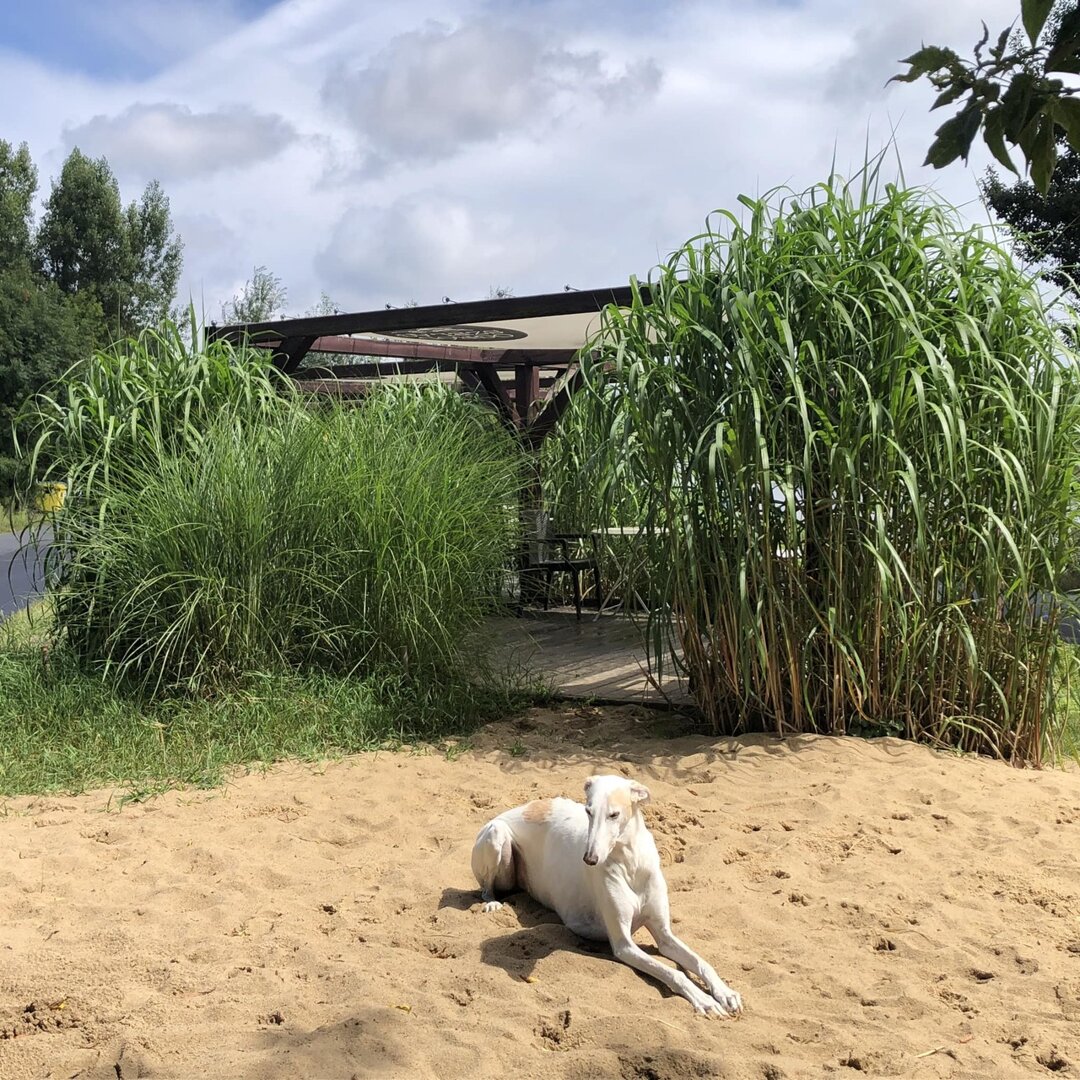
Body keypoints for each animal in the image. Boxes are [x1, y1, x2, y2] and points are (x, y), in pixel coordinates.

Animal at [471, 774, 742, 1017]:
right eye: (588, 811)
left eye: (614, 815)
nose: (590, 859)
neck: (631, 863)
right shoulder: (624, 945)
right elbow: (674, 972)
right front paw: (704, 1000)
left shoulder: (664, 935)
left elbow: (700, 961)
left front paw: (725, 992)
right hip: (496, 836)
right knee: (486, 888)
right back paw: (492, 902)